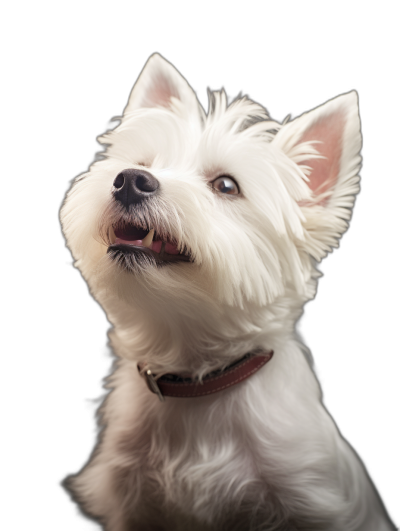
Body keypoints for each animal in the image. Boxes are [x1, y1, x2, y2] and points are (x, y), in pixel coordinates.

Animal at [61, 54, 396, 531]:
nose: (129, 180)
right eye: (142, 161)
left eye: (226, 185)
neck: (197, 380)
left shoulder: (314, 499)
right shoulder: (133, 504)